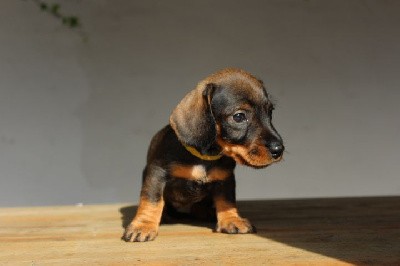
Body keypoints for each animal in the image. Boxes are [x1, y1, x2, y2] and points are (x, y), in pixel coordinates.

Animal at [123, 68, 282, 241]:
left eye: (270, 111)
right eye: (239, 116)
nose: (279, 149)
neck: (203, 158)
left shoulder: (224, 179)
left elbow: (226, 201)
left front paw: (231, 219)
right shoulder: (157, 173)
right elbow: (152, 200)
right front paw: (143, 225)